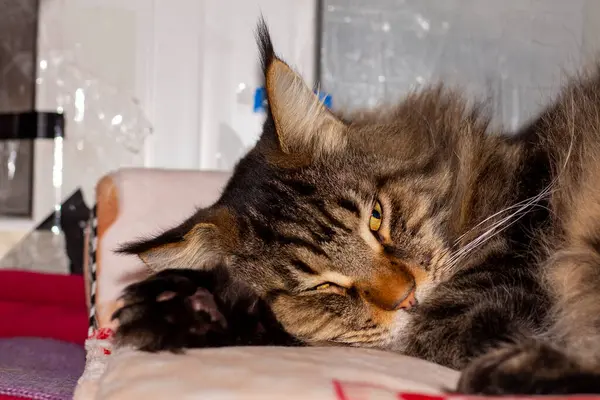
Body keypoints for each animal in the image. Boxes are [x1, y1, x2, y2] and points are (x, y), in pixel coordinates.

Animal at [112, 18, 600, 394]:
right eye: (323, 287)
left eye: (376, 218)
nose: (407, 297)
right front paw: (182, 306)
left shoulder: (492, 309)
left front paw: (174, 308)